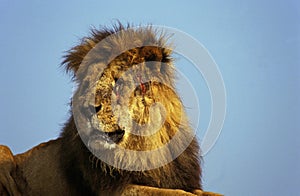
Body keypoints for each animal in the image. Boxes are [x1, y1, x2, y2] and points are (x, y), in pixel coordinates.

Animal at [0, 23, 220, 195]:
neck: (144, 146)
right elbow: (173, 193)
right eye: (88, 85)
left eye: (118, 82)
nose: (86, 109)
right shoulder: (114, 189)